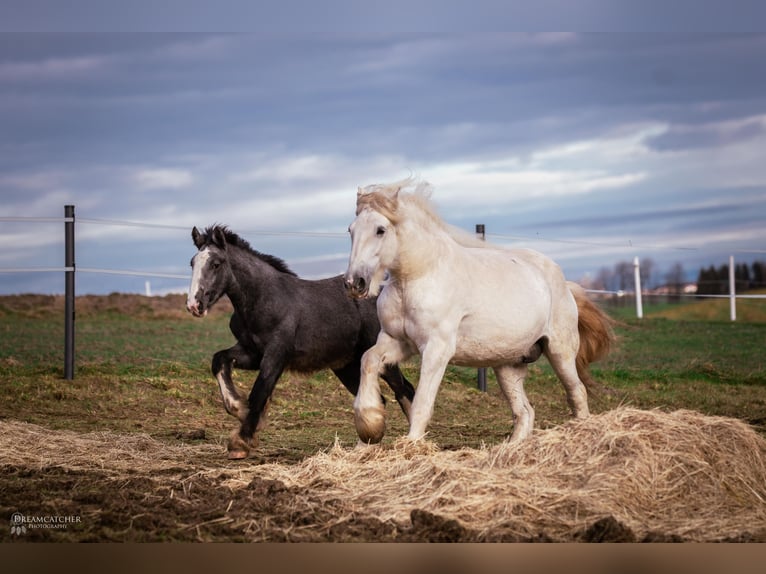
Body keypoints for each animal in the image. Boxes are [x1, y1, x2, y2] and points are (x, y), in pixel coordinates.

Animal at [344, 179, 616, 446]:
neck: (417, 277)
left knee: (577, 393)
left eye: (380, 230)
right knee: (525, 411)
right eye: (351, 230)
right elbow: (368, 360)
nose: (354, 283)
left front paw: (411, 443)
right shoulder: (396, 341)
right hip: (508, 366)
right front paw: (370, 424)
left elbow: (422, 401)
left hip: (560, 352)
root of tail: (564, 283)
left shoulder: (436, 349)